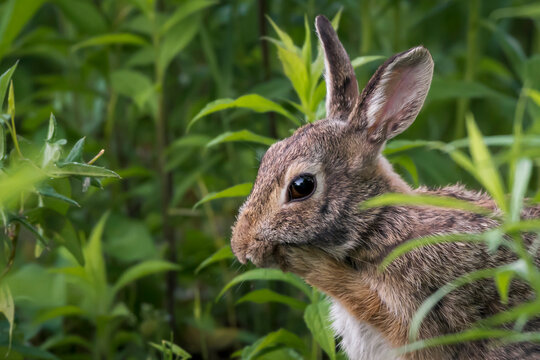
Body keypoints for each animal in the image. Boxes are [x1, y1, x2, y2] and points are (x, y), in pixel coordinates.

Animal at [229, 14, 540, 360]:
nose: (241, 246)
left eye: (301, 186)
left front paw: (307, 263)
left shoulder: (419, 316)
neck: (378, 225)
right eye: (269, 154)